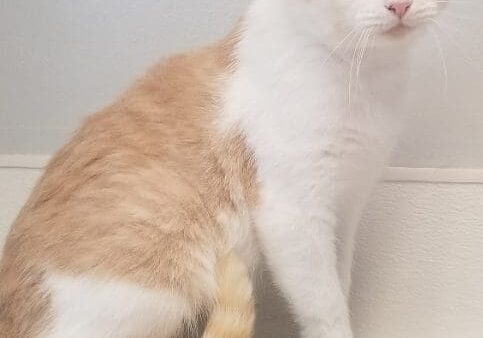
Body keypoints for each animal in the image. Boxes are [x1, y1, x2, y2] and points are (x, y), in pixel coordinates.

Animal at [0, 0, 448, 338]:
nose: (399, 4)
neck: (364, 75)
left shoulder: (346, 207)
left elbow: (340, 283)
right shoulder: (292, 214)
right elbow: (325, 304)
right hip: (151, 294)